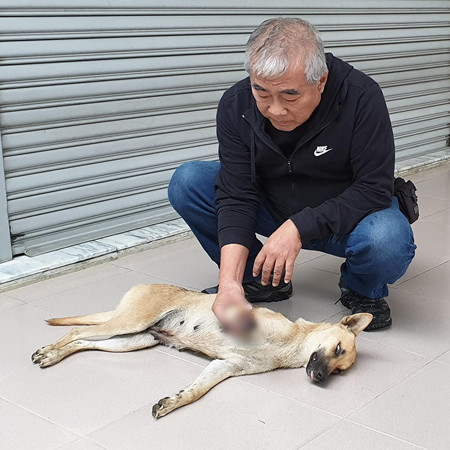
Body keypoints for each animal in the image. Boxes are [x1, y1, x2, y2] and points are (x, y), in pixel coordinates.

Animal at [32, 284, 372, 418]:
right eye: (337, 347)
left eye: (341, 370)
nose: (320, 377)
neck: (290, 346)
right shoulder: (240, 318)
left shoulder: (225, 367)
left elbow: (196, 391)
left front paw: (174, 401)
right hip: (129, 322)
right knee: (77, 332)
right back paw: (49, 351)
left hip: (132, 340)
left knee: (84, 342)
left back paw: (54, 355)